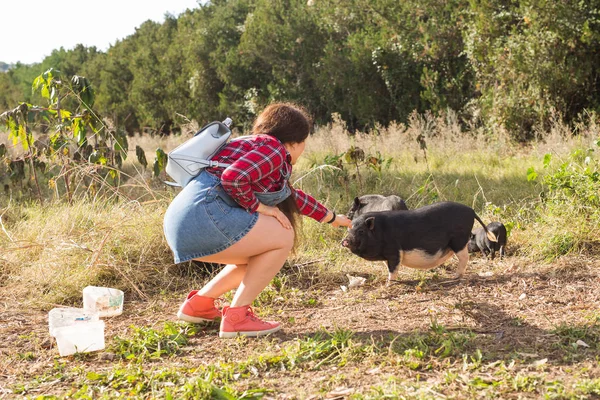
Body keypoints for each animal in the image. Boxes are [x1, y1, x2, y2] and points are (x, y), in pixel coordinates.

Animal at [342, 202, 496, 282]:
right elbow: (389, 267)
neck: (380, 231)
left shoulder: (394, 250)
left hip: (459, 240)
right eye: (349, 229)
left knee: (465, 257)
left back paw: (454, 277)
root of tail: (471, 211)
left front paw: (388, 284)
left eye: (361, 231)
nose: (345, 241)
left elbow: (393, 268)